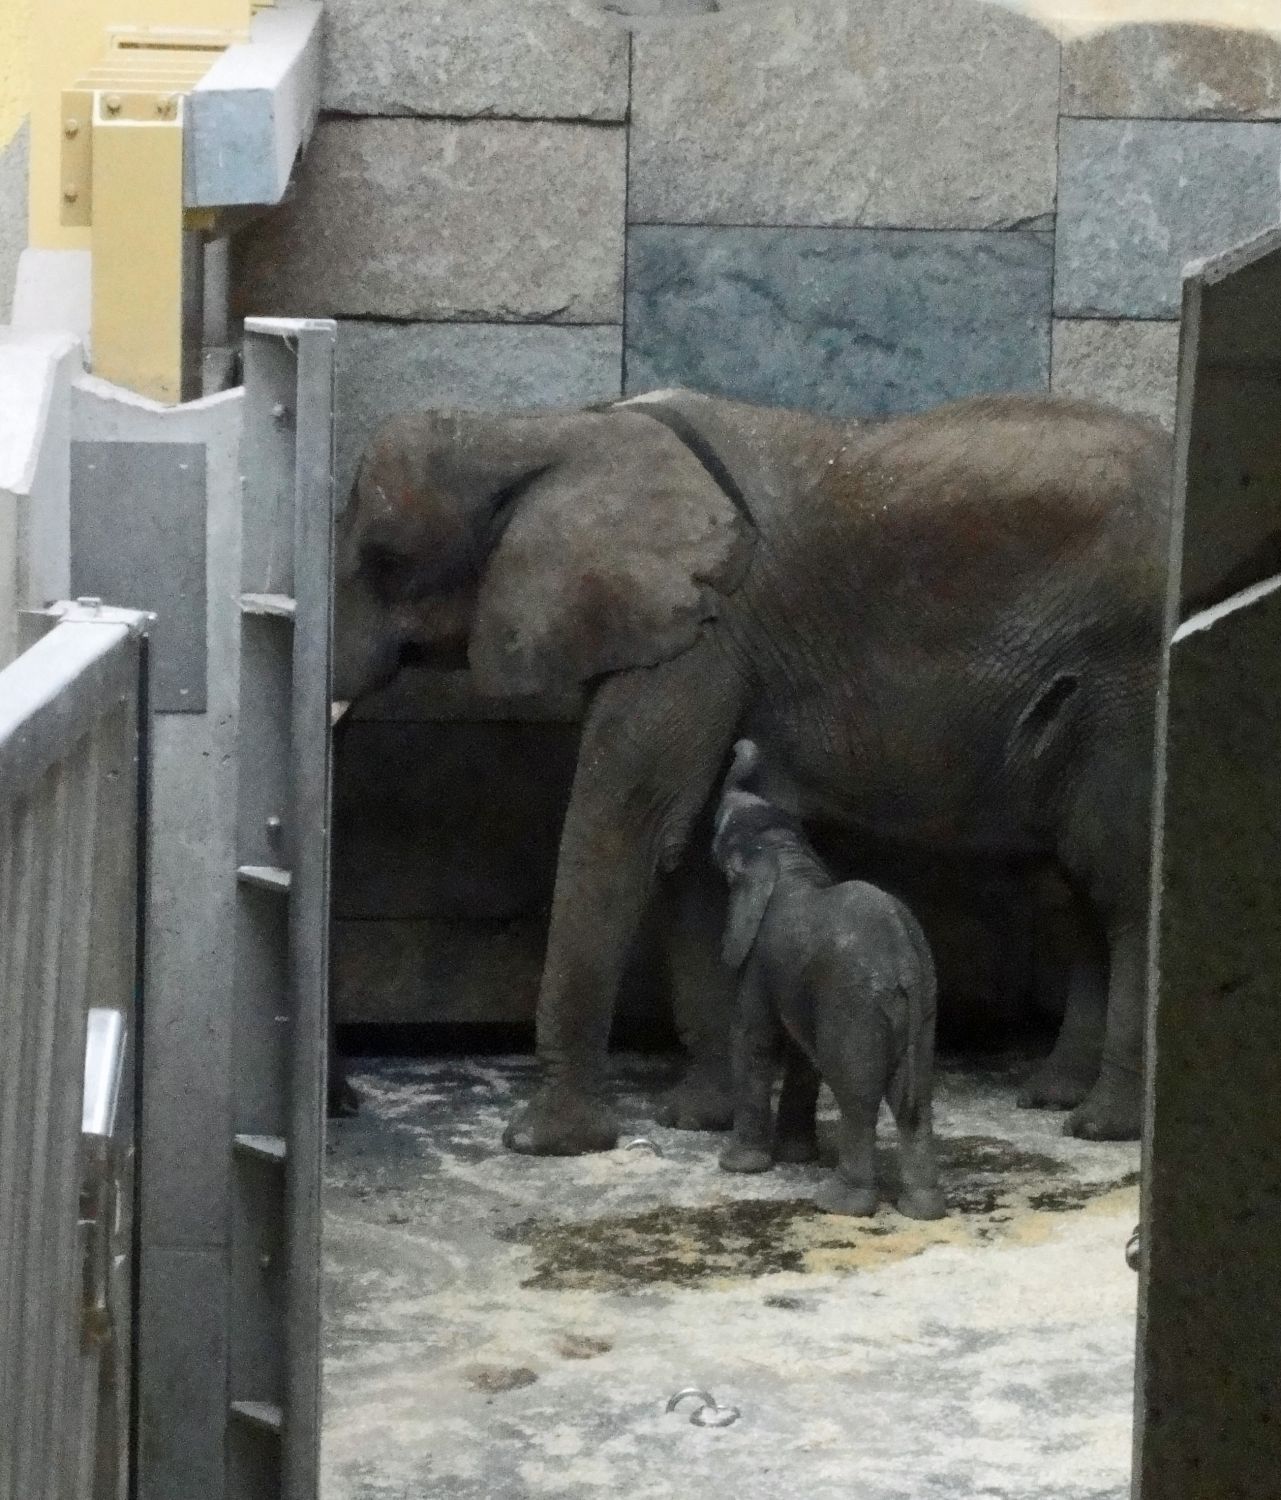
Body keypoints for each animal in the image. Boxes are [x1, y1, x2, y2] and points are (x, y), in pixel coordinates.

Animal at [339, 387, 1176, 1146]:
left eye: (384, 560)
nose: (346, 1101)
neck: (552, 431)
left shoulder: (703, 637)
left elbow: (629, 824)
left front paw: (548, 1142)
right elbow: (694, 852)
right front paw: (697, 1120)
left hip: (1130, 679)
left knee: (1120, 877)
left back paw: (1101, 1126)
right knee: (1078, 879)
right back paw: (1054, 1095)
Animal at [717, 738, 948, 1218]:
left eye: (720, 834)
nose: (742, 744)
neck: (784, 854)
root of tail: (904, 958)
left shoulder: (758, 957)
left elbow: (754, 1037)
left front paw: (738, 1167)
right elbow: (803, 1053)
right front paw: (795, 1158)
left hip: (856, 1004)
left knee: (856, 1092)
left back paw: (839, 1203)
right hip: (921, 1007)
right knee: (915, 1096)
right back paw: (922, 1210)